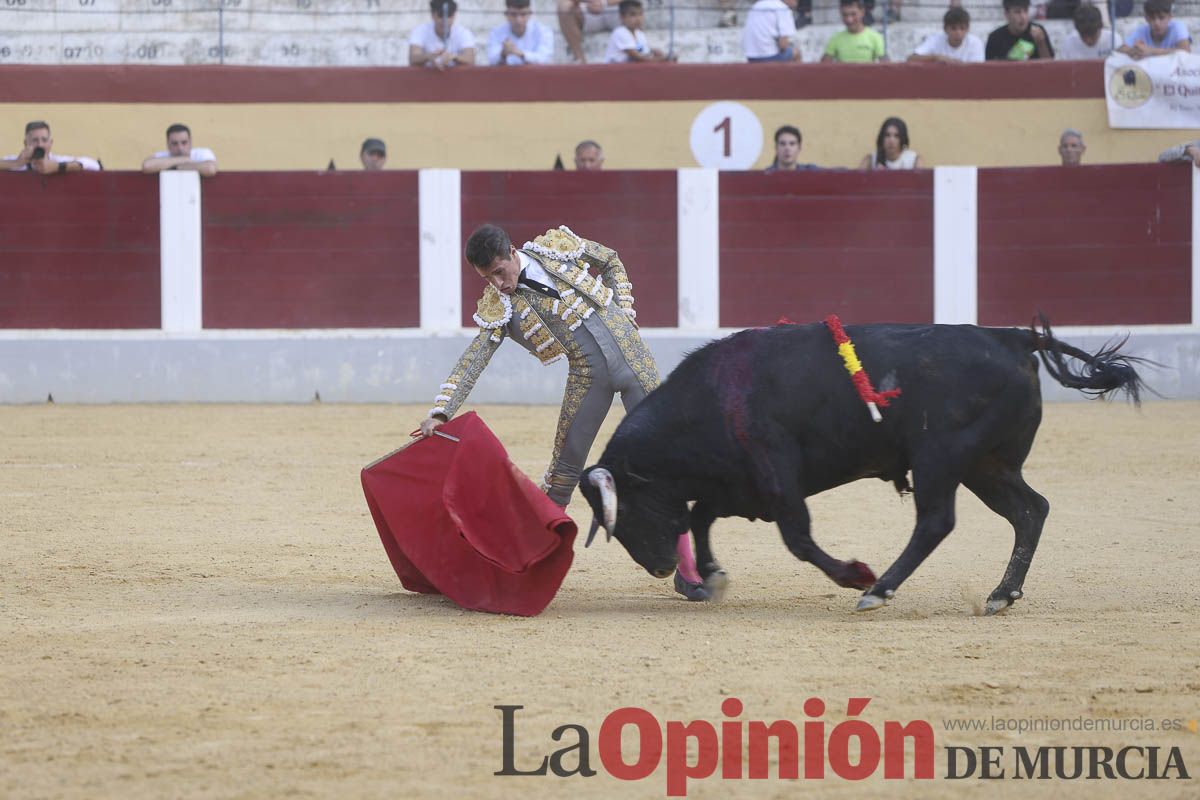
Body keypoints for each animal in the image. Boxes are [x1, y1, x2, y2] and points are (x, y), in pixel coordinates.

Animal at [580, 319, 1142, 614]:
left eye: (627, 513)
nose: (660, 568)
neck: (710, 399)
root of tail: (1014, 336)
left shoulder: (777, 479)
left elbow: (798, 539)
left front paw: (853, 575)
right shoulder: (739, 485)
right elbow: (700, 517)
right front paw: (713, 577)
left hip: (941, 459)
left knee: (937, 522)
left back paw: (877, 589)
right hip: (986, 465)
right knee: (1030, 510)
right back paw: (1002, 594)